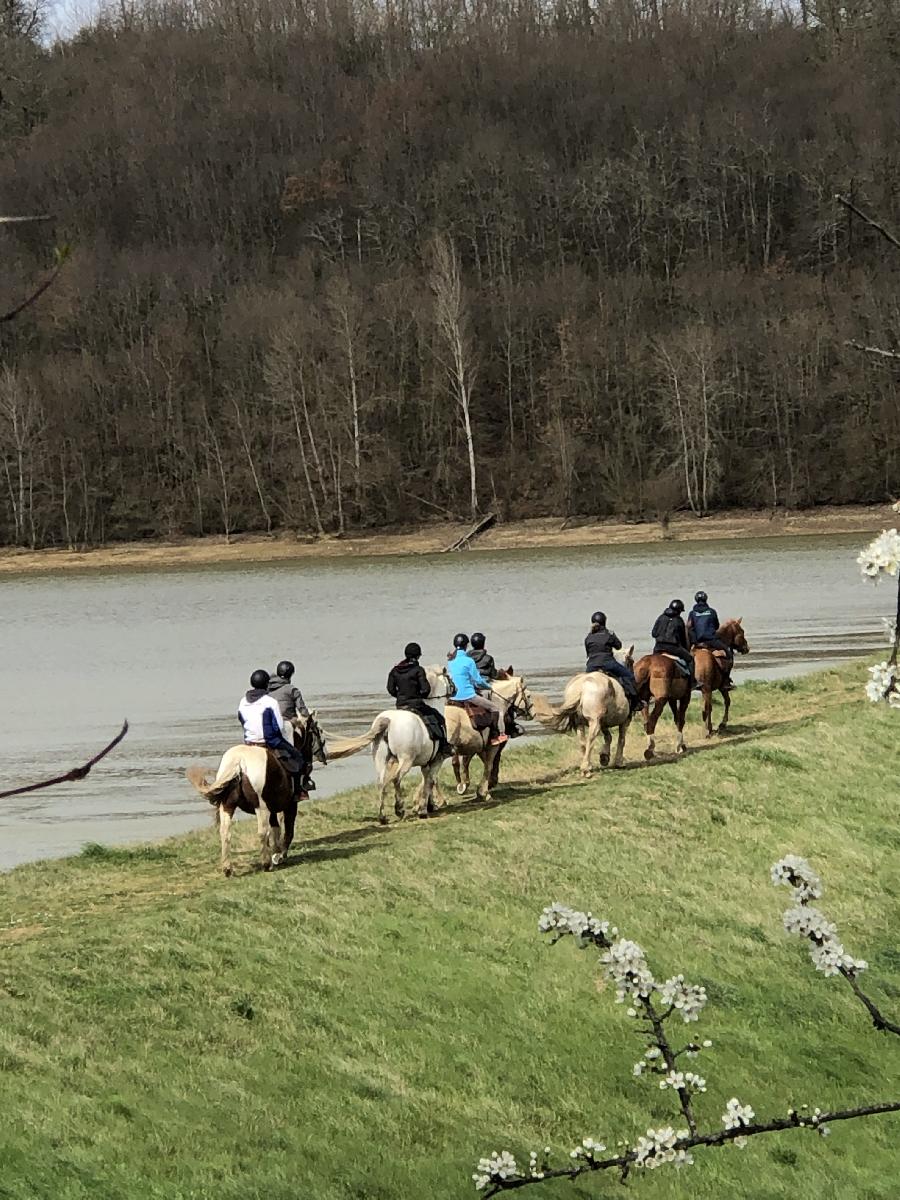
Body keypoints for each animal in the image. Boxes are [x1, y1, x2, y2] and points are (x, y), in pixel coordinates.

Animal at [321, 667, 451, 825]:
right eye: (449, 678)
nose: (455, 689)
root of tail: (388, 720)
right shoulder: (437, 760)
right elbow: (430, 780)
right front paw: (423, 810)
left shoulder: (426, 763)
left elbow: (427, 781)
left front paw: (429, 805)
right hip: (405, 760)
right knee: (396, 779)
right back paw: (399, 809)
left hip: (380, 759)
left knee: (381, 783)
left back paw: (382, 816)